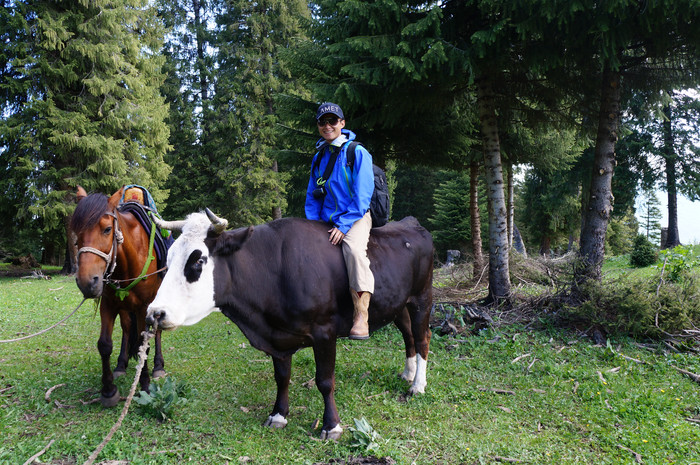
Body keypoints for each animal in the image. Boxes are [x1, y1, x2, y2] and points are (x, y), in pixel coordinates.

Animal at [71, 187, 165, 404]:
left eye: (107, 229)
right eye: (76, 232)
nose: (87, 282)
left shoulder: (144, 307)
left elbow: (142, 345)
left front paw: (145, 385)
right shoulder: (109, 304)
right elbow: (105, 344)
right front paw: (108, 390)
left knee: (156, 332)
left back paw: (158, 366)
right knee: (127, 328)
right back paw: (121, 365)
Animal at [147, 210, 432, 438]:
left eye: (198, 260)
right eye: (168, 259)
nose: (155, 313)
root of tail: (409, 223)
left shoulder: (325, 331)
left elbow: (325, 380)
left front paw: (331, 425)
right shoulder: (278, 336)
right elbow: (282, 377)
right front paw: (278, 415)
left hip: (422, 299)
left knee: (422, 338)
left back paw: (417, 385)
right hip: (398, 304)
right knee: (408, 335)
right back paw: (408, 374)